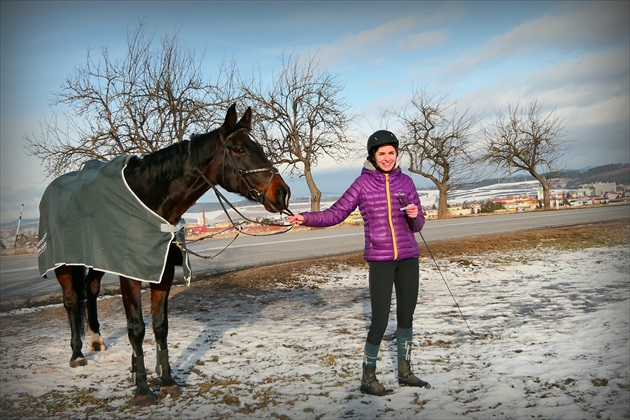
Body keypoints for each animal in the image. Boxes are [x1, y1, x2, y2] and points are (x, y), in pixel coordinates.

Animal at [39, 103, 294, 406]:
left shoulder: (164, 273)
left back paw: (96, 339)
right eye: (240, 149)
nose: (282, 193)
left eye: (260, 147)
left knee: (91, 289)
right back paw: (77, 353)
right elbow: (136, 328)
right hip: (64, 264)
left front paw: (167, 380)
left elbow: (161, 326)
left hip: (99, 259)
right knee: (70, 300)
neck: (149, 203)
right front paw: (142, 389)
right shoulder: (130, 275)